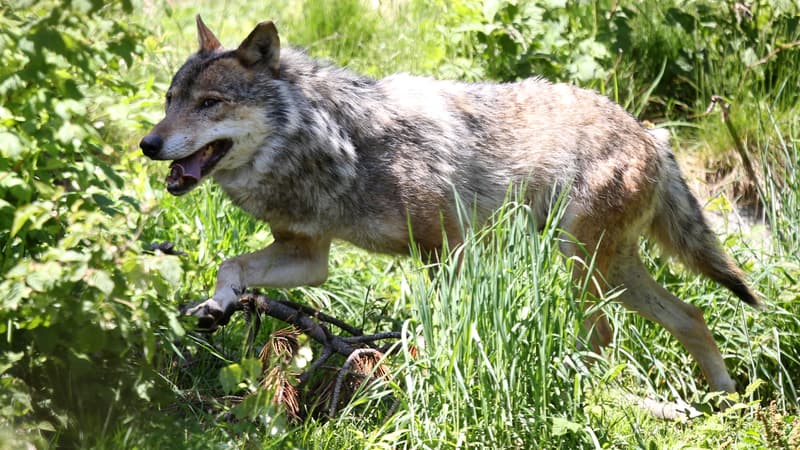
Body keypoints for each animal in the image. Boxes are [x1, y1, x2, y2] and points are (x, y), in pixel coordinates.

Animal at [141, 14, 760, 394]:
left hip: (582, 268)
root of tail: (652, 135)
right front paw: (216, 306)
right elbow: (232, 266)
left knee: (608, 336)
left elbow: (441, 325)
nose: (148, 144)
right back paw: (725, 400)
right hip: (610, 270)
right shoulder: (311, 257)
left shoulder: (449, 250)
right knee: (692, 315)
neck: (338, 144)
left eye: (210, 103)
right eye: (170, 100)